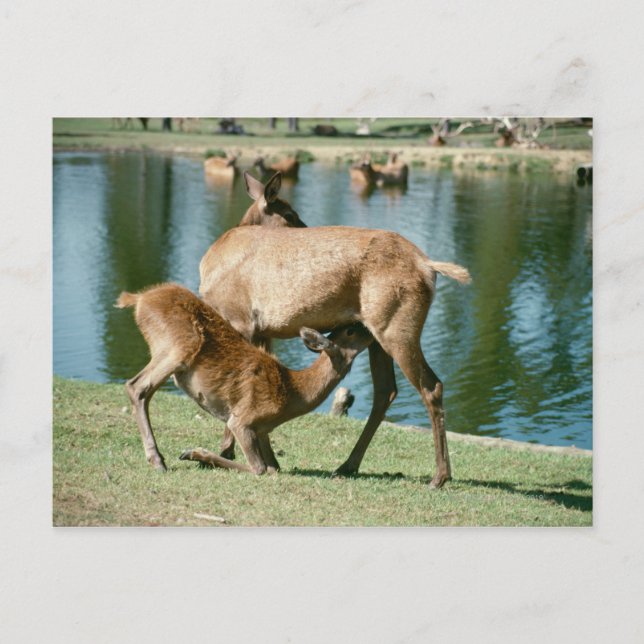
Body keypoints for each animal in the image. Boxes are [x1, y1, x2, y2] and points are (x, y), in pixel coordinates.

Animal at [116, 283, 373, 474]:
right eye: (350, 330)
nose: (369, 328)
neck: (293, 393)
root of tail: (138, 299)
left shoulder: (263, 430)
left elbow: (275, 467)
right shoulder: (243, 419)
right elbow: (260, 468)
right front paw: (194, 453)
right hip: (177, 346)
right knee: (136, 386)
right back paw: (158, 461)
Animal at [199, 226, 471, 488]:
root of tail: (429, 266)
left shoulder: (241, 320)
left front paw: (227, 451)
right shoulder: (261, 331)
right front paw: (266, 459)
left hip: (396, 329)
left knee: (431, 386)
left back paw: (439, 477)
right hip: (378, 335)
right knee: (386, 390)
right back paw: (347, 465)